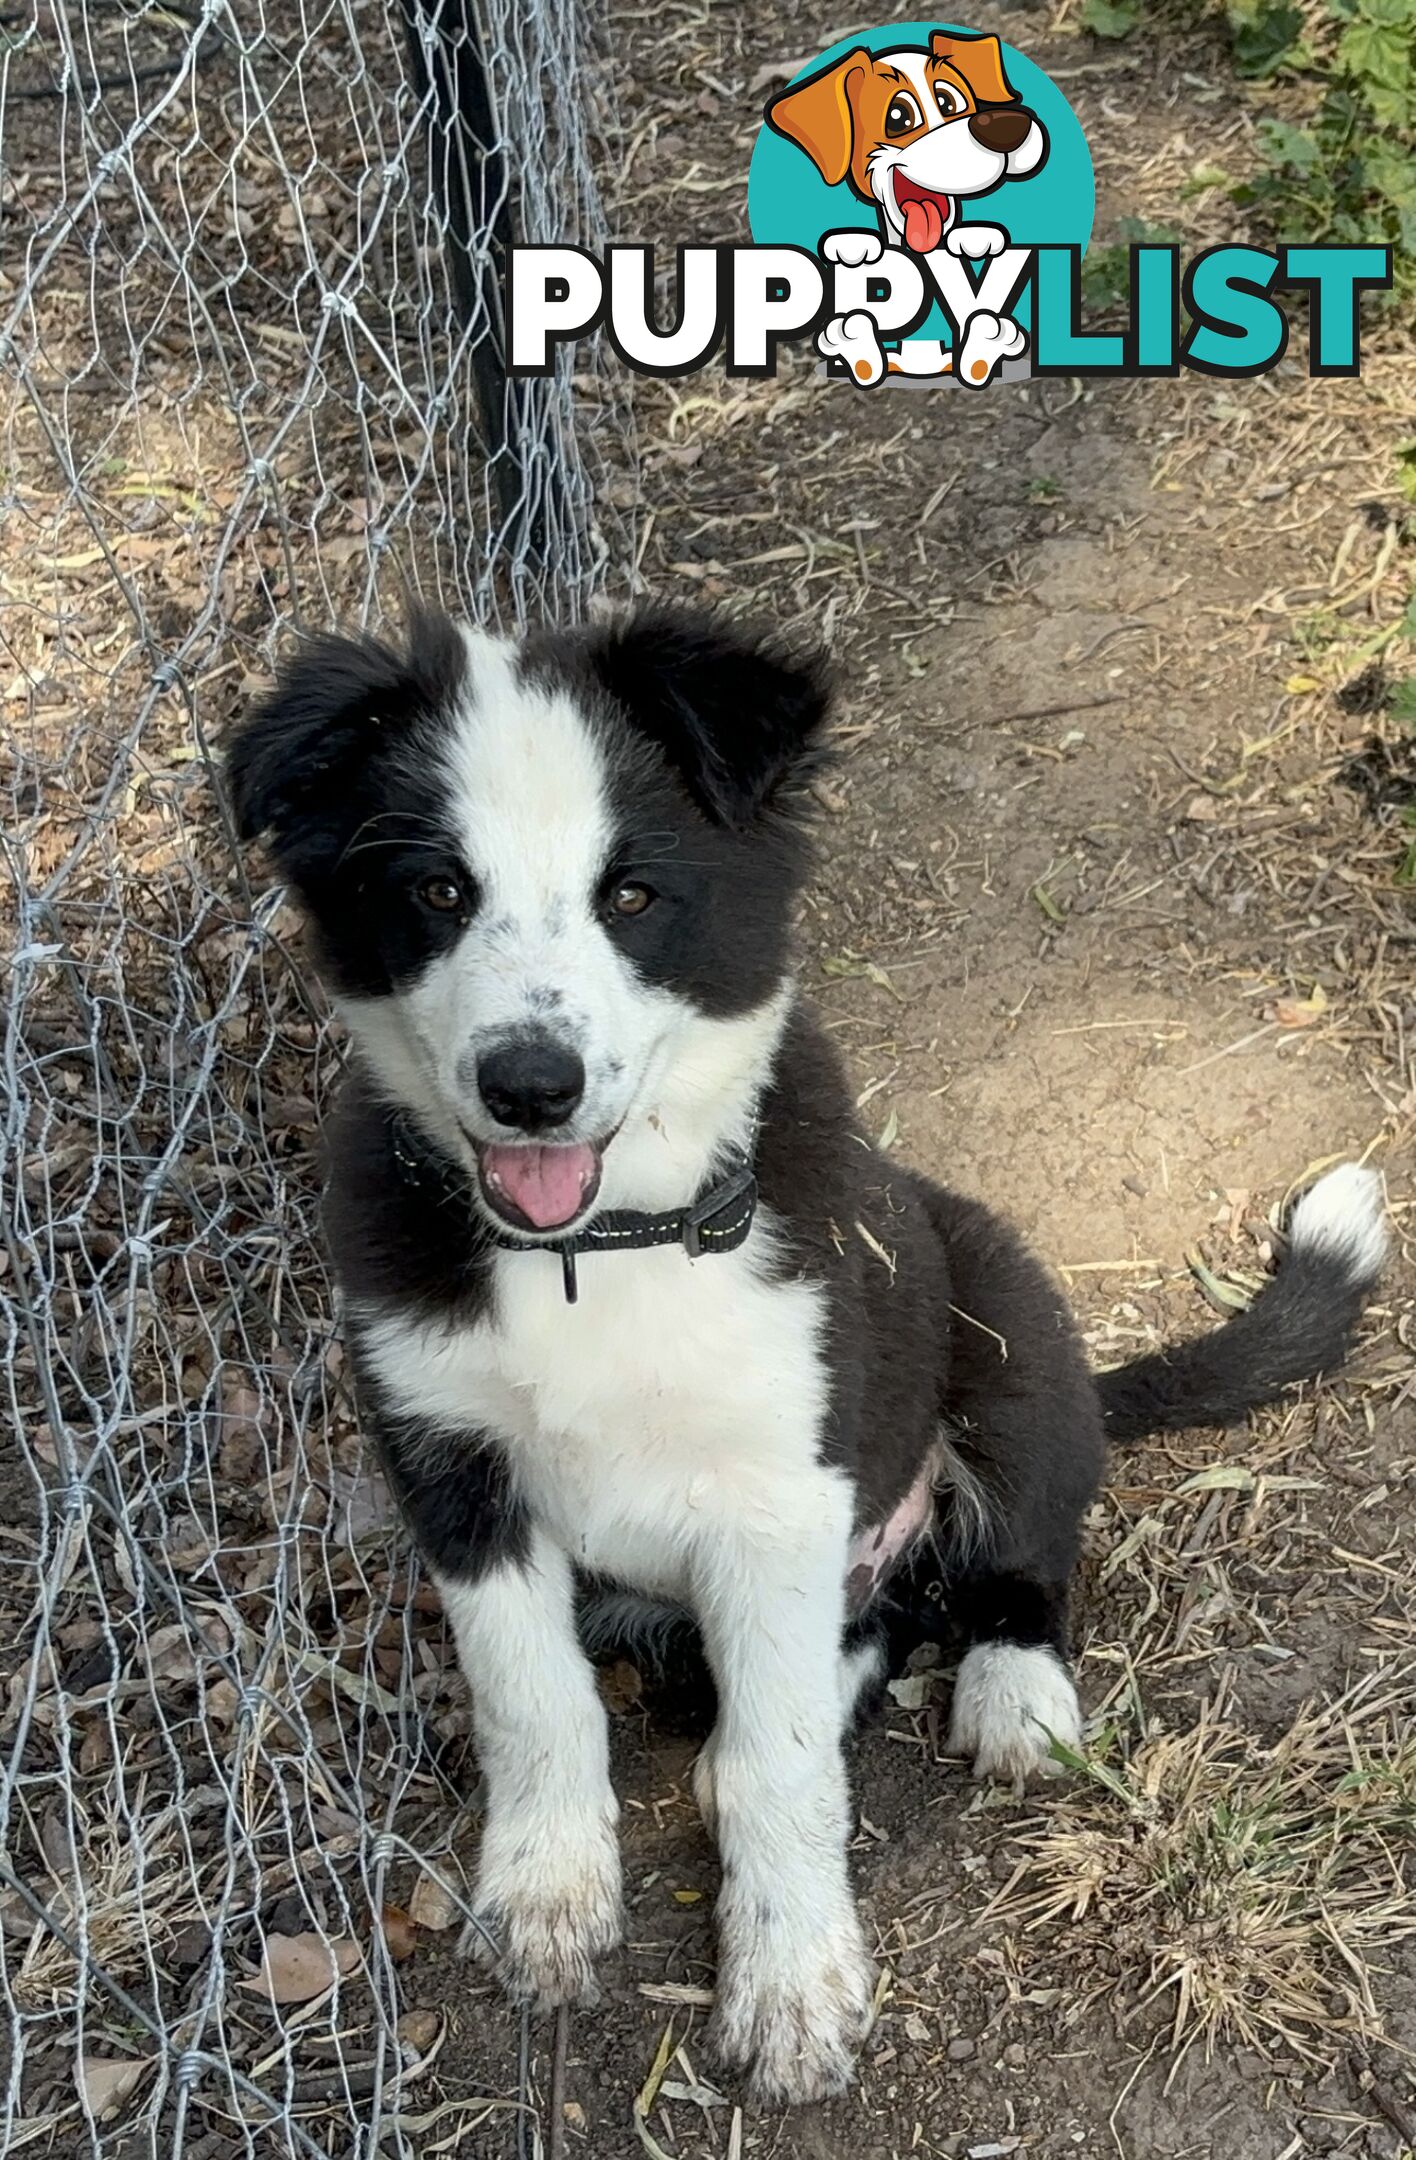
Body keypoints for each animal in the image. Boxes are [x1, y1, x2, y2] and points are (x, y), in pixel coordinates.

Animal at [226, 613, 1390, 2108]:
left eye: (632, 897)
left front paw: (792, 1989)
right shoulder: (453, 1468)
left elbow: (788, 1770)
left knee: (1012, 1558)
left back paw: (1014, 1690)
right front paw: (546, 1896)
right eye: (436, 890)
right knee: (860, 1631)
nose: (530, 1086)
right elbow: (533, 1696)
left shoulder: (780, 1488)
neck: (601, 1248)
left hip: (1004, 1325)